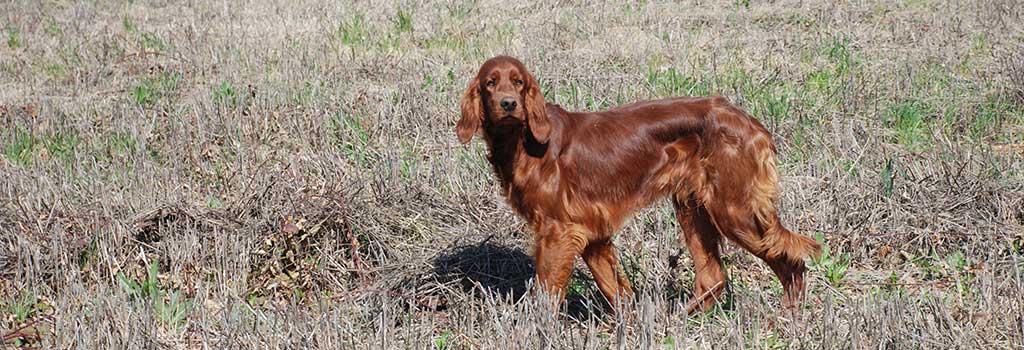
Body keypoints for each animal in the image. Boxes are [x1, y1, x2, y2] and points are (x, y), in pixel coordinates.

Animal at [456, 55, 823, 311]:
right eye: (490, 83)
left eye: (518, 82)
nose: (509, 104)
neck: (523, 141)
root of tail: (748, 121)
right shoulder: (592, 234)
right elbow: (617, 292)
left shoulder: (557, 231)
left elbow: (547, 295)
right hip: (694, 208)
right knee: (713, 278)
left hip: (735, 211)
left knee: (790, 261)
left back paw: (790, 319)